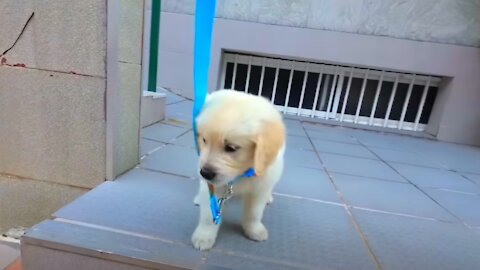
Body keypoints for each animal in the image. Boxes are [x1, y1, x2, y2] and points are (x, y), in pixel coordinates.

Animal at [190, 89, 284, 250]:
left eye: (231, 148)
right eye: (204, 140)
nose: (205, 173)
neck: (241, 174)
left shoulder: (260, 188)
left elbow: (254, 213)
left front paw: (254, 230)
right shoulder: (213, 187)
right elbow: (208, 215)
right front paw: (204, 236)